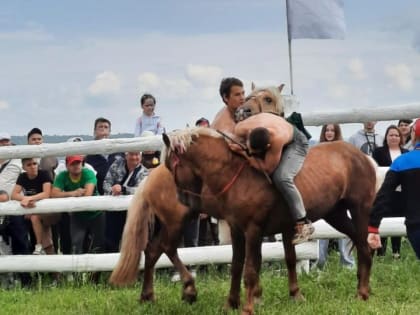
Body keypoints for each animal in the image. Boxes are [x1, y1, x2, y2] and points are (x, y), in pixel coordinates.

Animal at [162, 128, 376, 315]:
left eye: (171, 167)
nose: (183, 200)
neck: (236, 174)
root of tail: (362, 156)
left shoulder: (253, 230)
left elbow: (250, 269)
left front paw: (248, 308)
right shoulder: (237, 230)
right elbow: (238, 266)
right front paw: (231, 303)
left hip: (359, 210)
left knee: (365, 247)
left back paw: (363, 293)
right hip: (336, 215)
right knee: (361, 244)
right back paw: (361, 287)